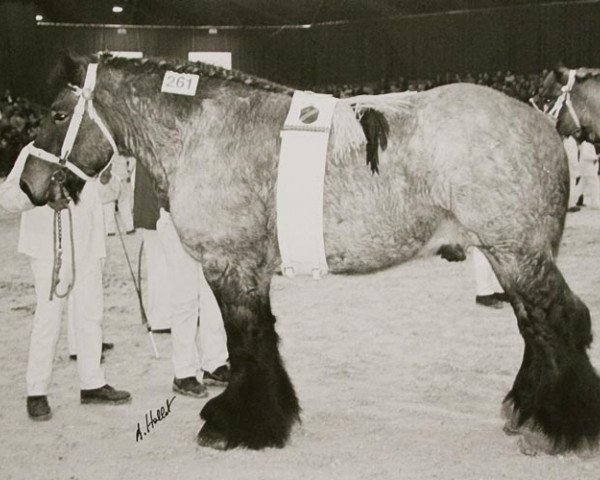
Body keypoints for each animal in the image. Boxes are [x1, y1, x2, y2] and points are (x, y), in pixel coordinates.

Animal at [17, 54, 600, 456]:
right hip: (509, 254)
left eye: (57, 113)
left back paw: (558, 428)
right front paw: (269, 417)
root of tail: (541, 126)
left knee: (560, 321)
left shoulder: (230, 266)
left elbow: (247, 345)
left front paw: (235, 425)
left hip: (518, 253)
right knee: (535, 327)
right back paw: (526, 411)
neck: (208, 131)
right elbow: (261, 343)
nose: (28, 184)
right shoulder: (249, 271)